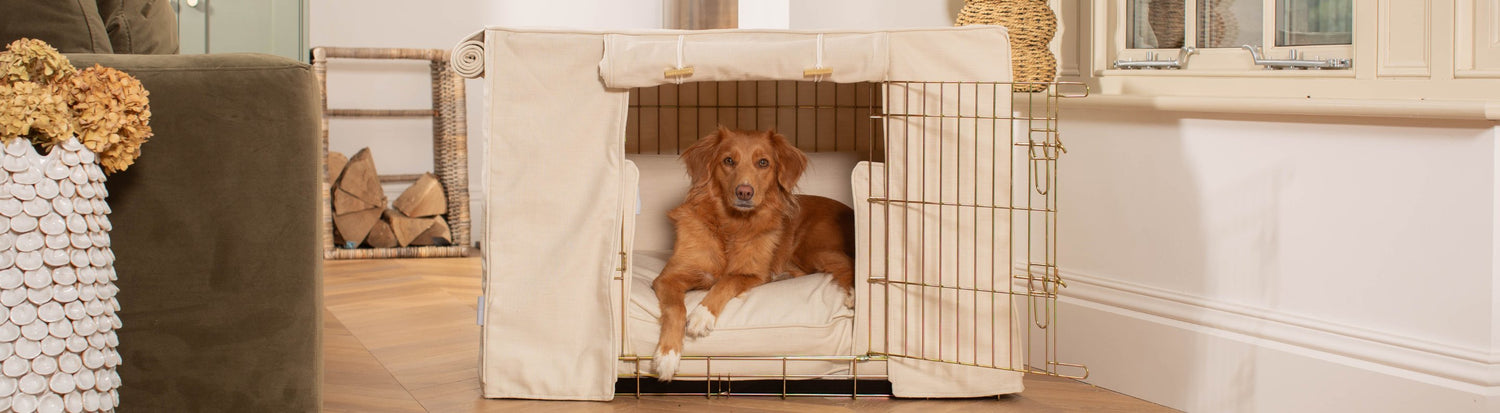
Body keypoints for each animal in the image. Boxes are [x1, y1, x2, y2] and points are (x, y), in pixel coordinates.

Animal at [650, 126, 855, 381]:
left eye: (763, 162)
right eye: (728, 160)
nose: (744, 192)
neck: (731, 226)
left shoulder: (752, 274)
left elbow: (726, 281)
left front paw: (702, 315)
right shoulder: (668, 277)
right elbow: (675, 308)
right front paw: (667, 355)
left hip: (813, 249)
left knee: (849, 262)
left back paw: (853, 294)